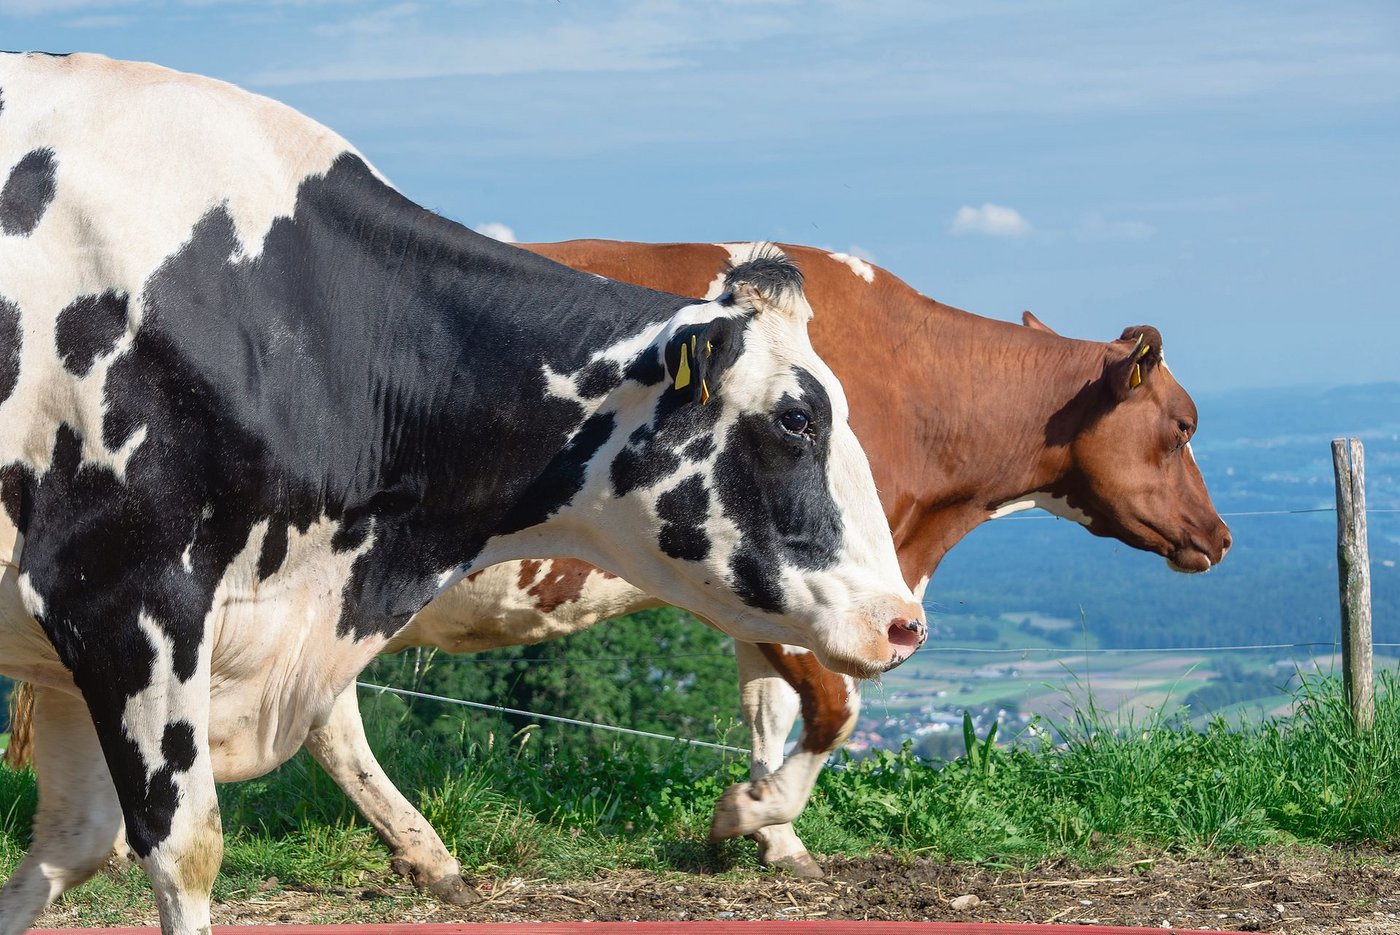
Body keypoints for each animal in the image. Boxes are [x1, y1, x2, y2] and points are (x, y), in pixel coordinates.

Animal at [0, 54, 925, 935]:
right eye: (798, 418)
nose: (904, 621)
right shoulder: (124, 596)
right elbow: (183, 849)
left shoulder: (77, 646)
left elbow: (70, 845)